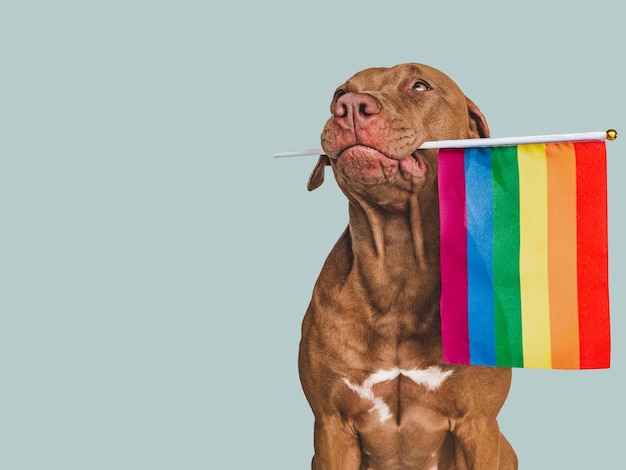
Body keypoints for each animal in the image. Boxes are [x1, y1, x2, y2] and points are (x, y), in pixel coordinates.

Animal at [298, 63, 516, 470]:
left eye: (419, 86)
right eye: (339, 94)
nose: (351, 107)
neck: (399, 264)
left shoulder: (478, 425)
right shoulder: (332, 427)